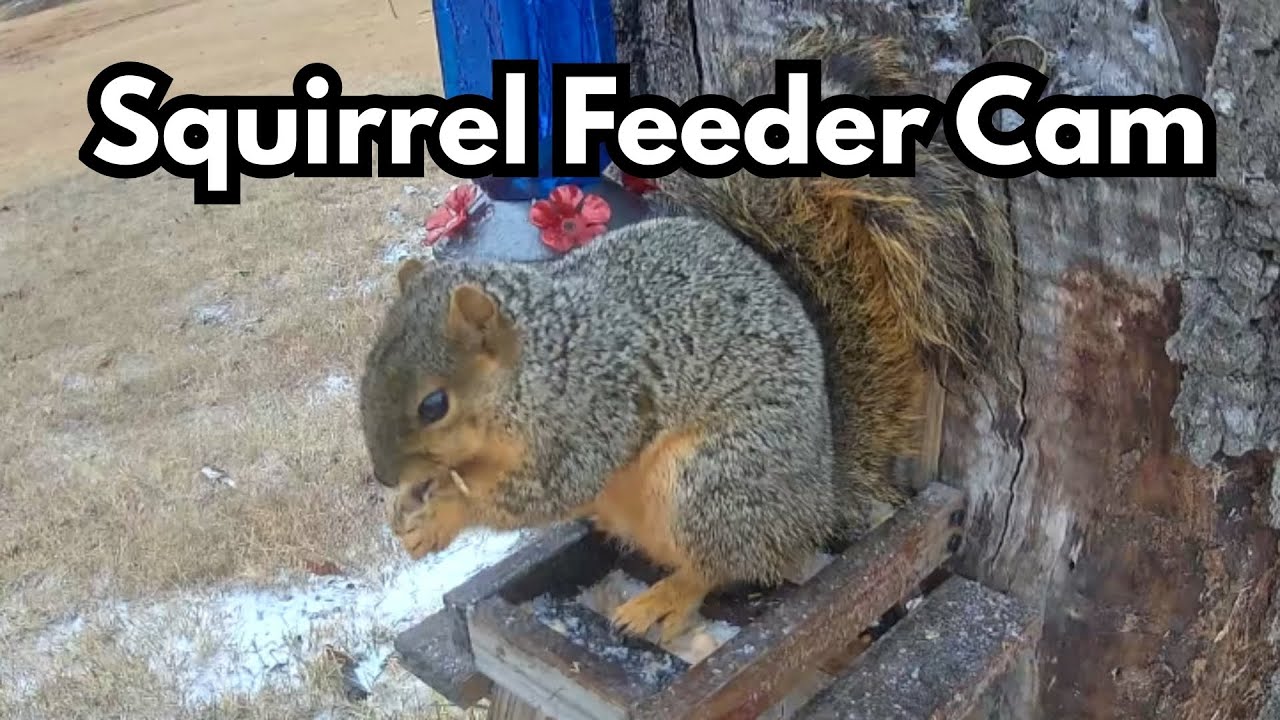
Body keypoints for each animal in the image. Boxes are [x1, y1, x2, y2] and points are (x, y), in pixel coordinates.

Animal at [358, 22, 1017, 643]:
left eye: (434, 404)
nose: (386, 477)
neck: (541, 358)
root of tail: (817, 502)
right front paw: (409, 506)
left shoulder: (595, 409)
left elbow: (542, 491)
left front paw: (443, 513)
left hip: (712, 483)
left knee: (722, 566)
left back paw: (664, 601)